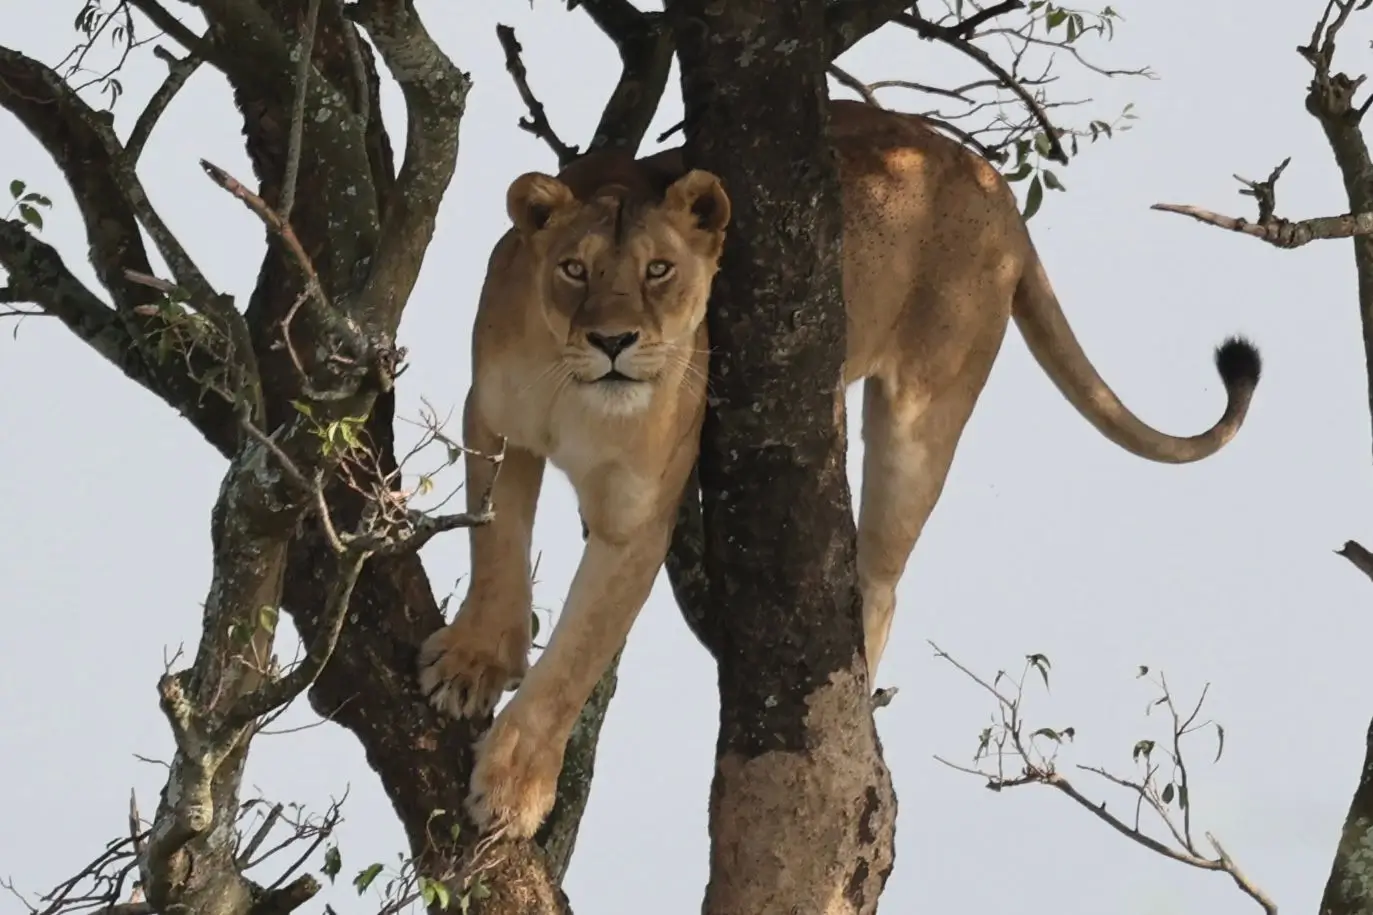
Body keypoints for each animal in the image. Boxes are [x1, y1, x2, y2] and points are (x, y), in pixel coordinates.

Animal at [417, 99, 1261, 838]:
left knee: (879, 580)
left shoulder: (639, 514)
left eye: (658, 269)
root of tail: (990, 181)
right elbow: (496, 546)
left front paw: (514, 787)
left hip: (921, 415)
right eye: (572, 268)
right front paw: (473, 663)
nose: (614, 340)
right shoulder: (492, 417)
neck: (579, 397)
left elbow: (578, 653)